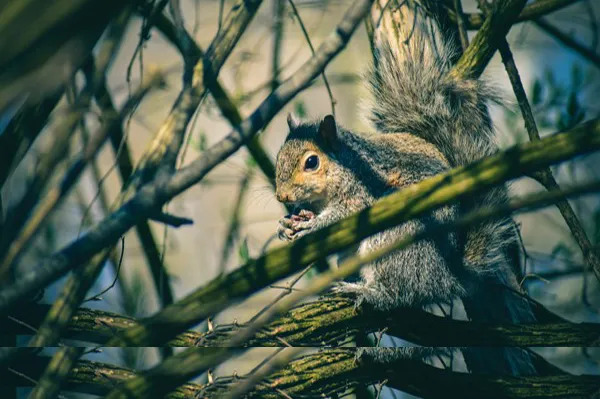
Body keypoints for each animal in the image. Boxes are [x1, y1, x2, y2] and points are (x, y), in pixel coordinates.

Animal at [274, 1, 532, 328]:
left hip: (395, 238)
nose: (281, 196)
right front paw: (286, 224)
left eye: (311, 162)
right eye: (278, 156)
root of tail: (448, 277)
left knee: (401, 291)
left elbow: (346, 214)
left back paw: (369, 291)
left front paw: (313, 224)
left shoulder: (362, 191)